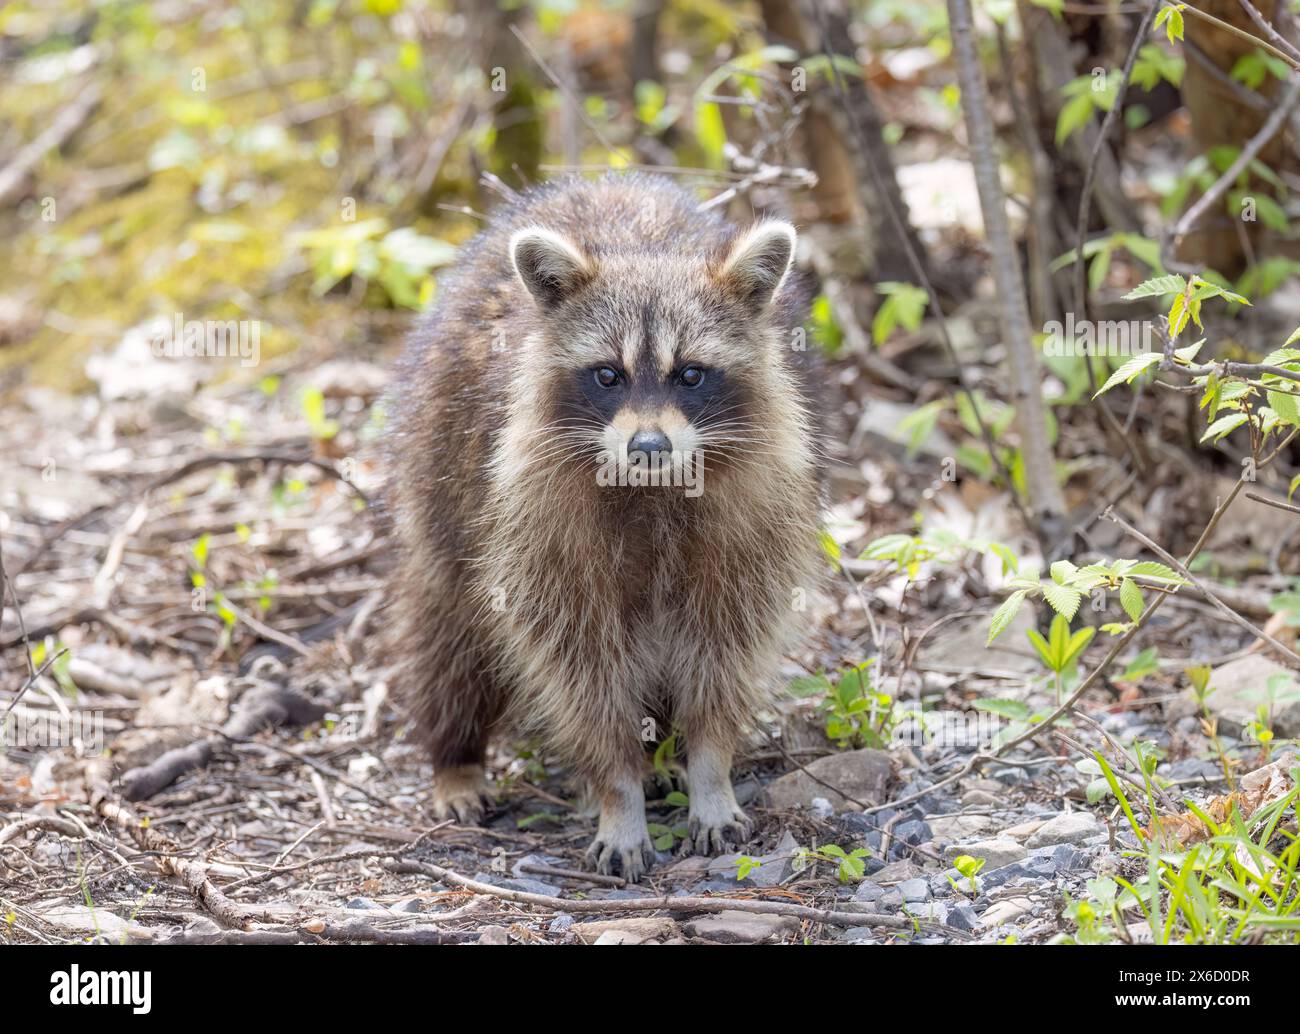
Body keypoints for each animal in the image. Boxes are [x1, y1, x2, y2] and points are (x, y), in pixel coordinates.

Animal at [385, 173, 825, 880]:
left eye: (691, 374)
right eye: (608, 375)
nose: (648, 446)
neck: (653, 490)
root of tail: (601, 180)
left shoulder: (755, 519)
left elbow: (725, 647)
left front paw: (709, 767)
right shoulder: (534, 524)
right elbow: (579, 667)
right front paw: (617, 789)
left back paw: (665, 757)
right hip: (438, 474)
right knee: (447, 632)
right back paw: (456, 755)